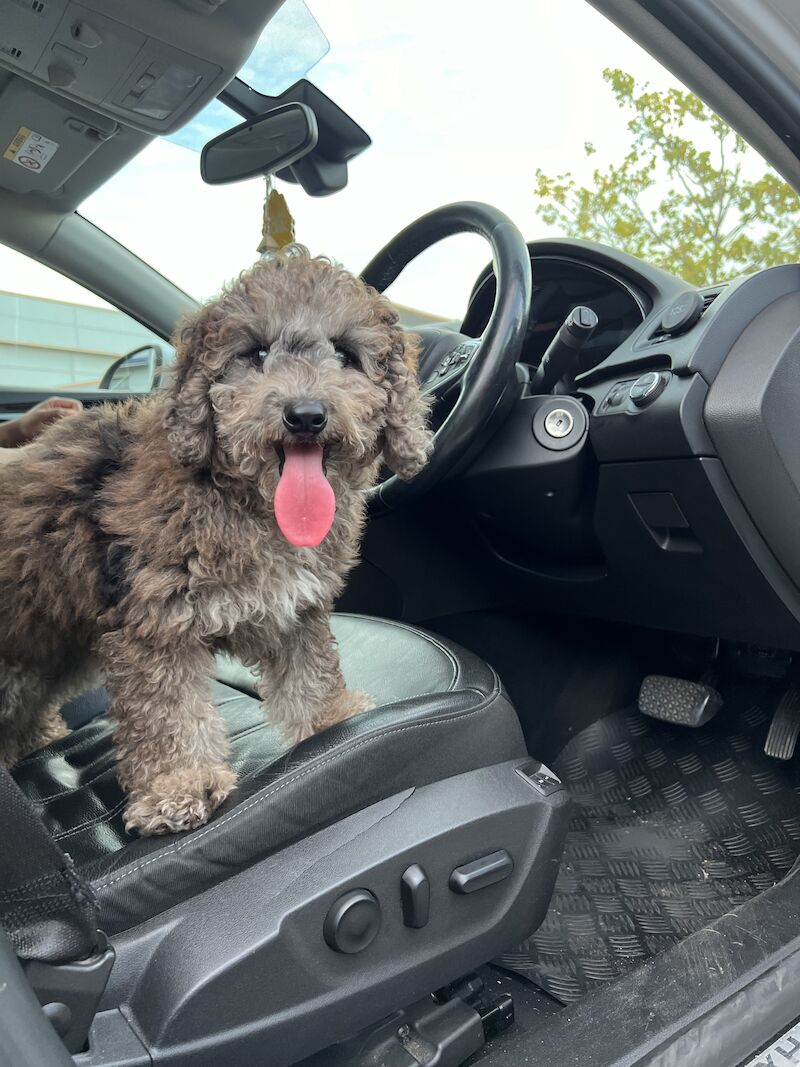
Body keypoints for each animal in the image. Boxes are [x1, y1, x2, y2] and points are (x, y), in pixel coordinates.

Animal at [0, 247, 433, 832]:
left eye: (346, 354)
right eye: (255, 353)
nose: (305, 415)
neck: (246, 502)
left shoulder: (294, 605)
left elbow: (310, 671)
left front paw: (332, 718)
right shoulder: (153, 623)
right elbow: (168, 711)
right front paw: (177, 785)